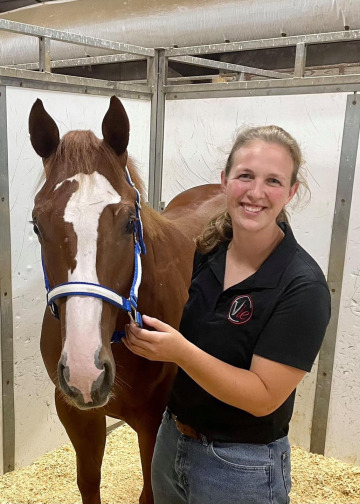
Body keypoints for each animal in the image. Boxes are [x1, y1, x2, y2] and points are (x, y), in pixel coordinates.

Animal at [29, 95, 224, 504]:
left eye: (129, 223)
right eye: (37, 225)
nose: (85, 369)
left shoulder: (153, 421)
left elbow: (149, 492)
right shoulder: (78, 413)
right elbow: (88, 482)